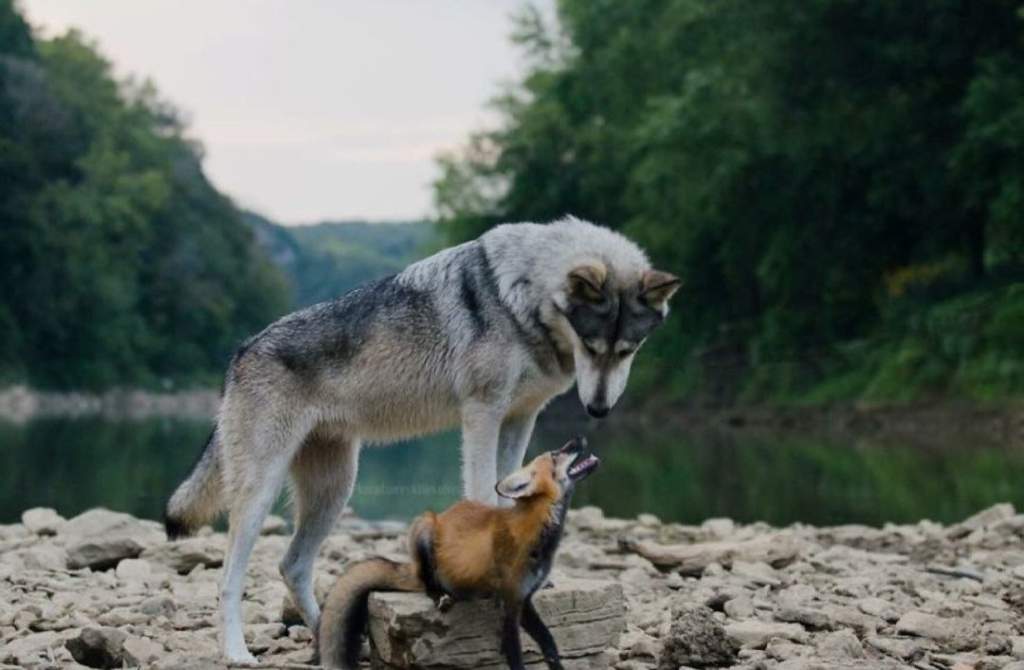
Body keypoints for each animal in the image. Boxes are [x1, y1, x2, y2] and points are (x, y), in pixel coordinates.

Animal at [315, 436, 598, 670]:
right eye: (556, 454)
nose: (580, 438)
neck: (536, 536)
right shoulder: (510, 602)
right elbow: (517, 658)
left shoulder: (524, 599)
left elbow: (549, 643)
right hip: (424, 527)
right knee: (427, 582)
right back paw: (440, 595)